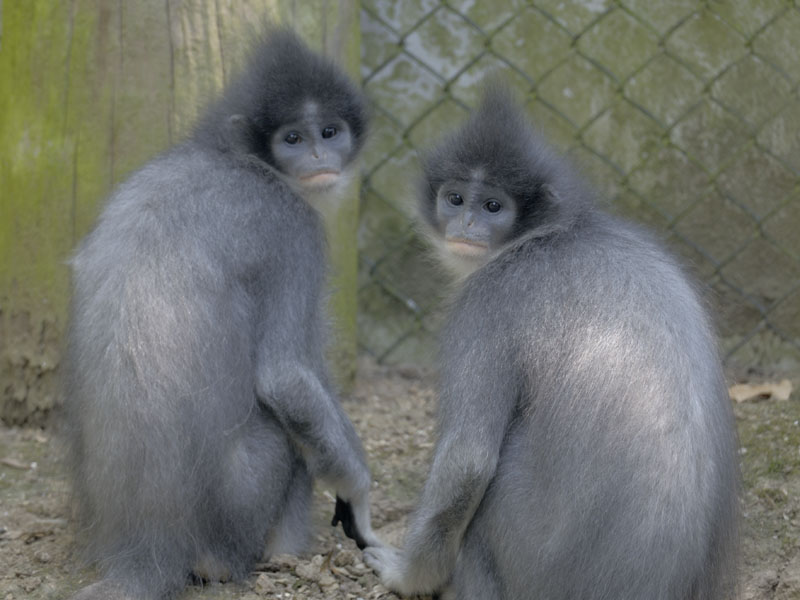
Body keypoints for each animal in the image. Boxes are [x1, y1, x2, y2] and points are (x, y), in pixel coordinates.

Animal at [62, 28, 379, 600]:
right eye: (292, 139)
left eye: (329, 131)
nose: (318, 154)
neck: (233, 156)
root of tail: (147, 548)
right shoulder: (291, 226)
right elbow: (283, 375)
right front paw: (359, 492)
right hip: (239, 505)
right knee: (285, 438)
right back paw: (278, 554)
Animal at [363, 88, 739, 600]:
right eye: (455, 199)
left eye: (493, 207)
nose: (466, 225)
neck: (553, 233)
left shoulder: (487, 302)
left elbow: (468, 460)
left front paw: (408, 576)